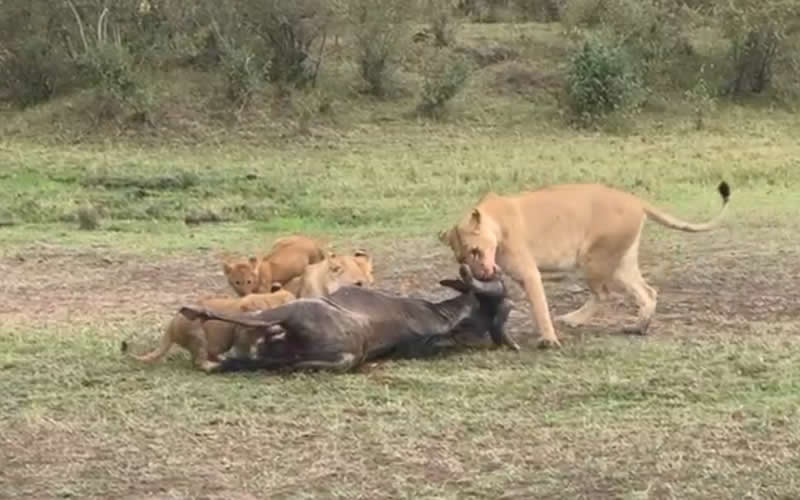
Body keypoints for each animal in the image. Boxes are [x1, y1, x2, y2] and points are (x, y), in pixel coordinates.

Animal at [121, 285, 296, 371]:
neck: (273, 300)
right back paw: (214, 365)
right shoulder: (243, 332)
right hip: (196, 335)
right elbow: (244, 346)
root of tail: (171, 326)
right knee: (199, 361)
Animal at [439, 181, 731, 348]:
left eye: (475, 251)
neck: (495, 220)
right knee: (647, 292)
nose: (480, 273)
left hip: (594, 258)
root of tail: (636, 200)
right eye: (462, 259)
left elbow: (539, 307)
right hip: (621, 262)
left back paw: (575, 320)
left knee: (604, 294)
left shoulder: (529, 272)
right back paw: (638, 327)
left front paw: (549, 339)